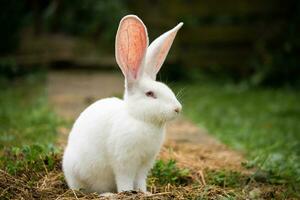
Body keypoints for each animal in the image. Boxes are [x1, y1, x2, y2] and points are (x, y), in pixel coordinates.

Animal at [62, 15, 183, 194]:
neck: (140, 119)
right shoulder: (124, 161)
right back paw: (107, 195)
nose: (177, 109)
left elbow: (140, 180)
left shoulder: (144, 163)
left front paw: (144, 192)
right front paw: (126, 192)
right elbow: (125, 179)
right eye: (150, 94)